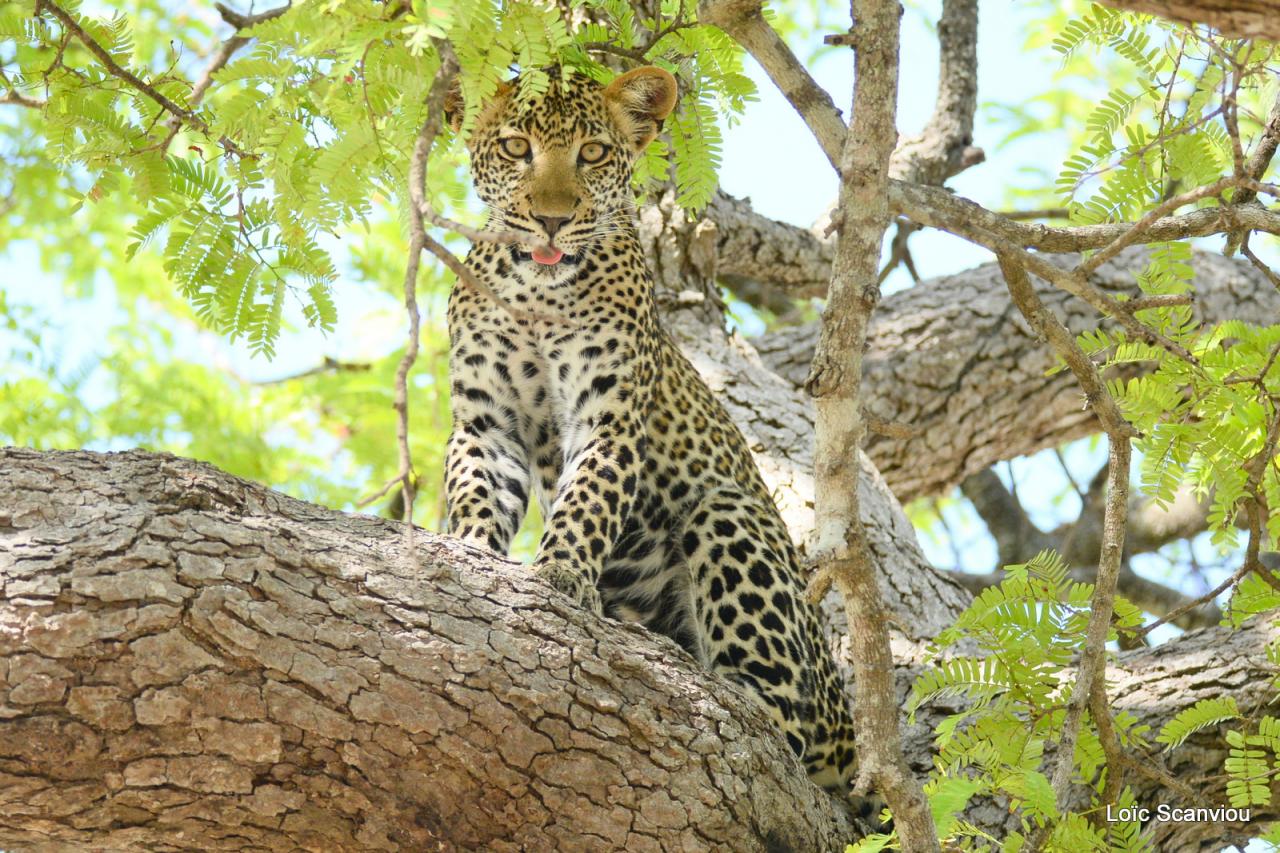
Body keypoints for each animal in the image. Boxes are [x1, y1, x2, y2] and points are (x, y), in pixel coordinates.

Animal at [442, 63, 860, 794]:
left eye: (593, 154)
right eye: (518, 147)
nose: (552, 219)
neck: (534, 290)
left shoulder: (607, 414)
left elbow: (587, 500)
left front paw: (561, 575)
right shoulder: (485, 418)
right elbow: (476, 490)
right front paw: (469, 547)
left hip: (728, 513)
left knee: (785, 727)